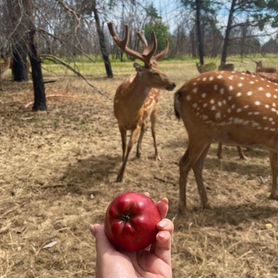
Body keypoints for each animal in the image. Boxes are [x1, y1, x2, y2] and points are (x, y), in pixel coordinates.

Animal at [108, 22, 176, 182]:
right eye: (154, 73)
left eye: (160, 70)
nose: (173, 84)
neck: (127, 110)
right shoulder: (120, 123)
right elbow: (123, 145)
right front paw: (121, 162)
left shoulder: (136, 123)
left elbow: (129, 145)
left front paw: (121, 175)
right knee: (146, 128)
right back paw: (139, 152)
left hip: (155, 109)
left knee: (153, 131)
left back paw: (156, 155)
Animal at [175, 70, 276, 213]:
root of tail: (180, 91)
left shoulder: (272, 145)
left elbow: (273, 166)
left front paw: (274, 196)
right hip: (198, 131)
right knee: (184, 163)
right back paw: (183, 208)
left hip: (206, 136)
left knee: (197, 164)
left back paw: (206, 204)